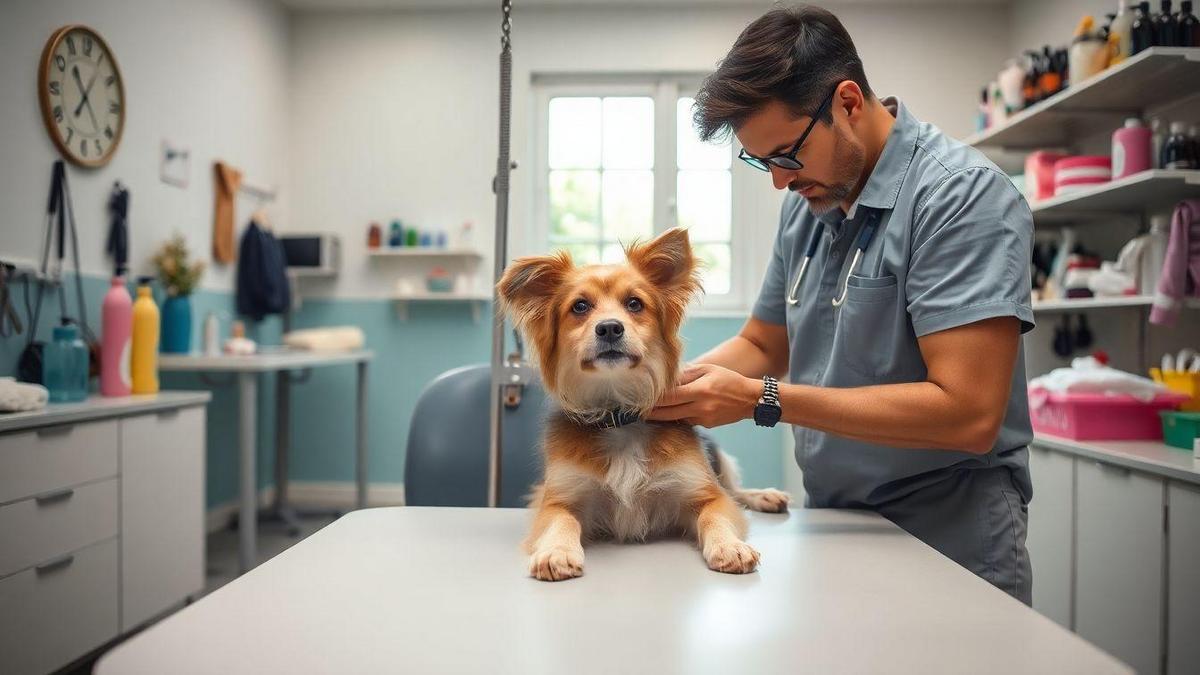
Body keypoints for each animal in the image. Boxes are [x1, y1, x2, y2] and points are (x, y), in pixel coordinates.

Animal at [494, 224, 787, 578]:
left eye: (635, 304)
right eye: (579, 307)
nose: (609, 328)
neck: (619, 415)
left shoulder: (702, 491)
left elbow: (715, 513)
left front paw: (730, 545)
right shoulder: (558, 498)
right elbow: (560, 521)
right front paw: (556, 551)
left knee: (734, 489)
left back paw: (765, 496)